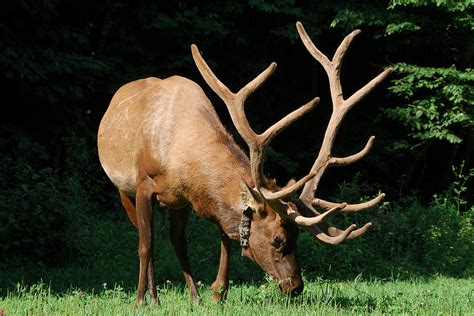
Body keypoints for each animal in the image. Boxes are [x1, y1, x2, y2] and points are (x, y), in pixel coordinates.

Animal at [96, 21, 392, 304]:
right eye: (278, 239)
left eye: (297, 236)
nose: (296, 287)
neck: (180, 157)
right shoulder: (144, 185)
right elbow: (146, 245)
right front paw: (140, 301)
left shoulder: (185, 199)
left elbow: (224, 235)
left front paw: (215, 293)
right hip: (123, 189)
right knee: (144, 237)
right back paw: (153, 297)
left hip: (172, 204)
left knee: (177, 240)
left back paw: (191, 295)